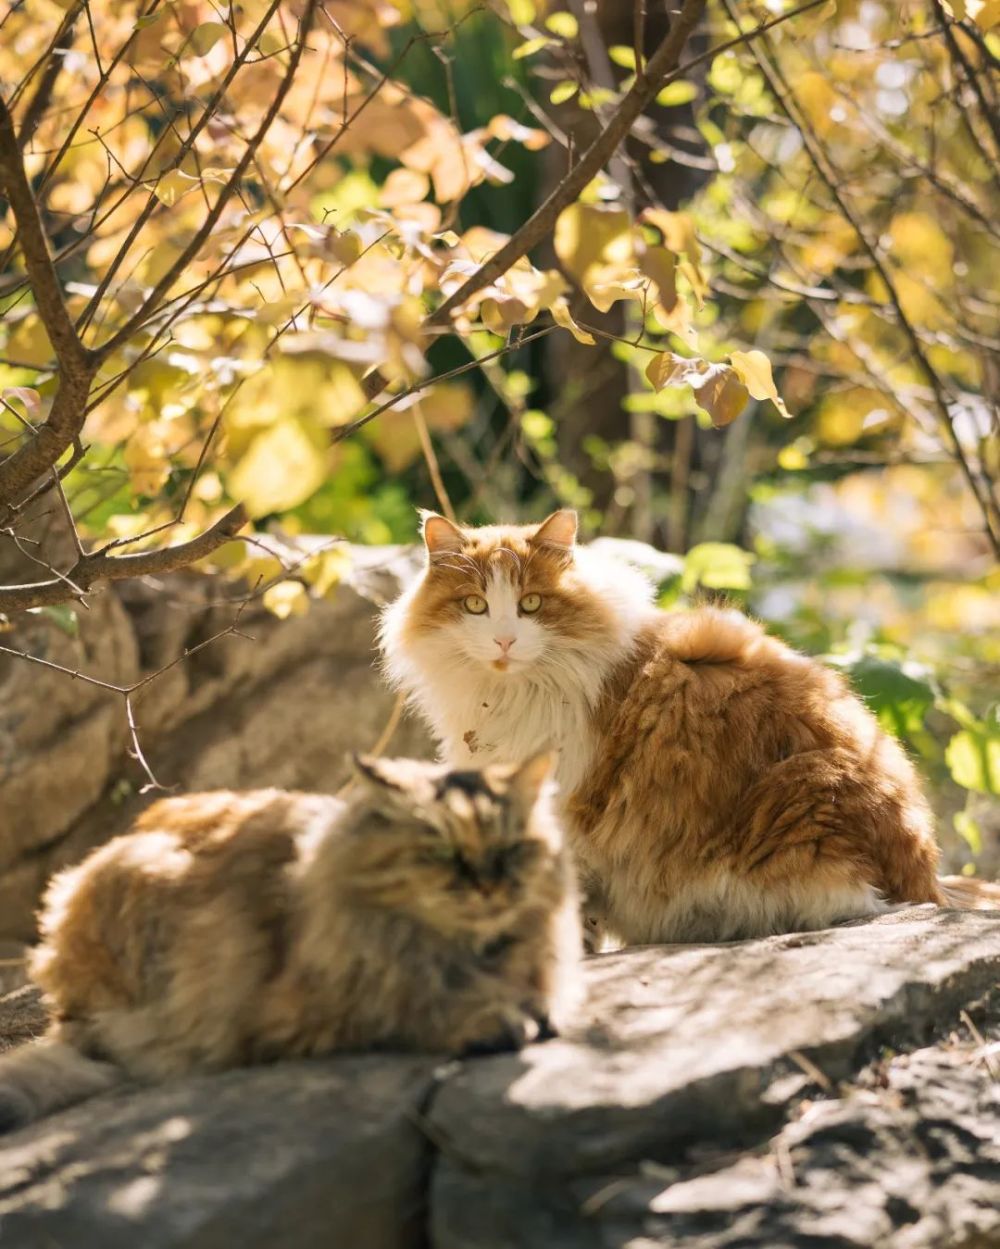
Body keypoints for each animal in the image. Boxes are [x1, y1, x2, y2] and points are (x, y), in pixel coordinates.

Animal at [0, 749, 576, 1134]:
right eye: (440, 854)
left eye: (512, 850)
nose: (489, 887)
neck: (477, 953)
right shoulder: (307, 1014)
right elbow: (415, 1006)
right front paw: (494, 1018)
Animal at [379, 507, 993, 944]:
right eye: (475, 606)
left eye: (530, 604)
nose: (505, 641)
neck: (508, 694)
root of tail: (929, 878)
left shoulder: (567, 805)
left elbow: (569, 905)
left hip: (803, 798)